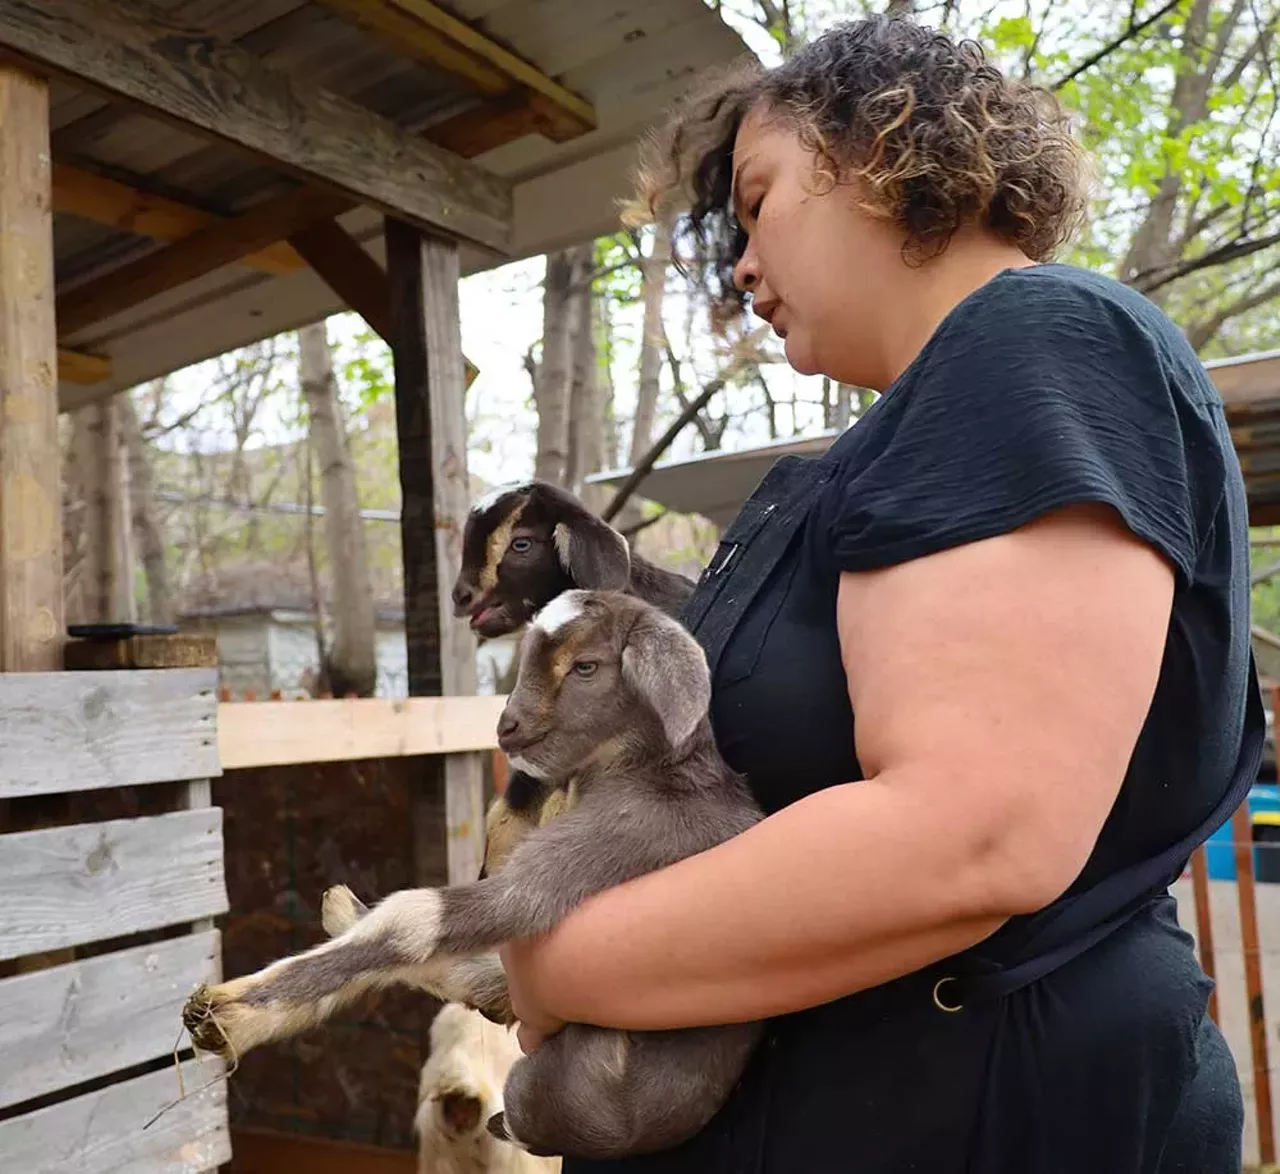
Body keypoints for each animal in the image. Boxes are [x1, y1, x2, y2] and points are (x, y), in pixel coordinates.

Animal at [179, 591, 757, 1157]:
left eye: (586, 666)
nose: (507, 727)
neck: (643, 772)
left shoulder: (597, 851)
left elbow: (414, 920)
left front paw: (229, 1014)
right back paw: (345, 909)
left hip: (555, 1090)